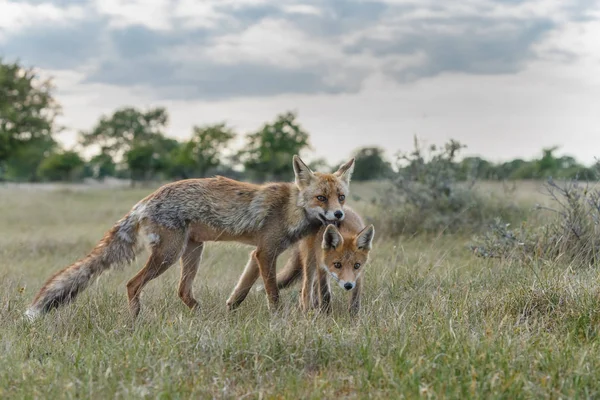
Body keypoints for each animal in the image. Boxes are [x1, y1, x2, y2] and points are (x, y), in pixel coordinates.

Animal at [25, 155, 354, 320]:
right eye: (321, 198)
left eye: (341, 197)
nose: (338, 215)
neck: (290, 208)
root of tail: (144, 201)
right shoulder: (266, 253)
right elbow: (272, 292)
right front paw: (278, 319)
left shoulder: (256, 254)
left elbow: (241, 291)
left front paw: (231, 311)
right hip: (169, 255)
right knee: (133, 284)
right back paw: (136, 319)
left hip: (193, 251)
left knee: (182, 292)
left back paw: (203, 316)